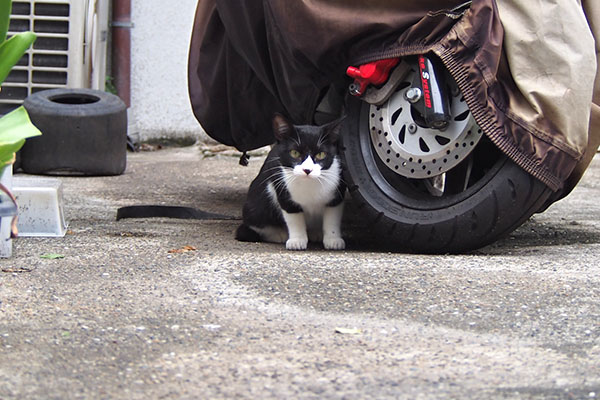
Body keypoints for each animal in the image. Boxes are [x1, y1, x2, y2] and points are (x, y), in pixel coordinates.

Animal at [236, 113, 346, 250]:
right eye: (294, 153)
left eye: (321, 154)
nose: (307, 170)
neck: (309, 185)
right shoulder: (283, 191)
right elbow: (294, 218)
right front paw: (297, 240)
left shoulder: (337, 192)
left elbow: (332, 217)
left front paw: (333, 239)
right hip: (255, 207)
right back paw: (279, 234)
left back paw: (316, 233)